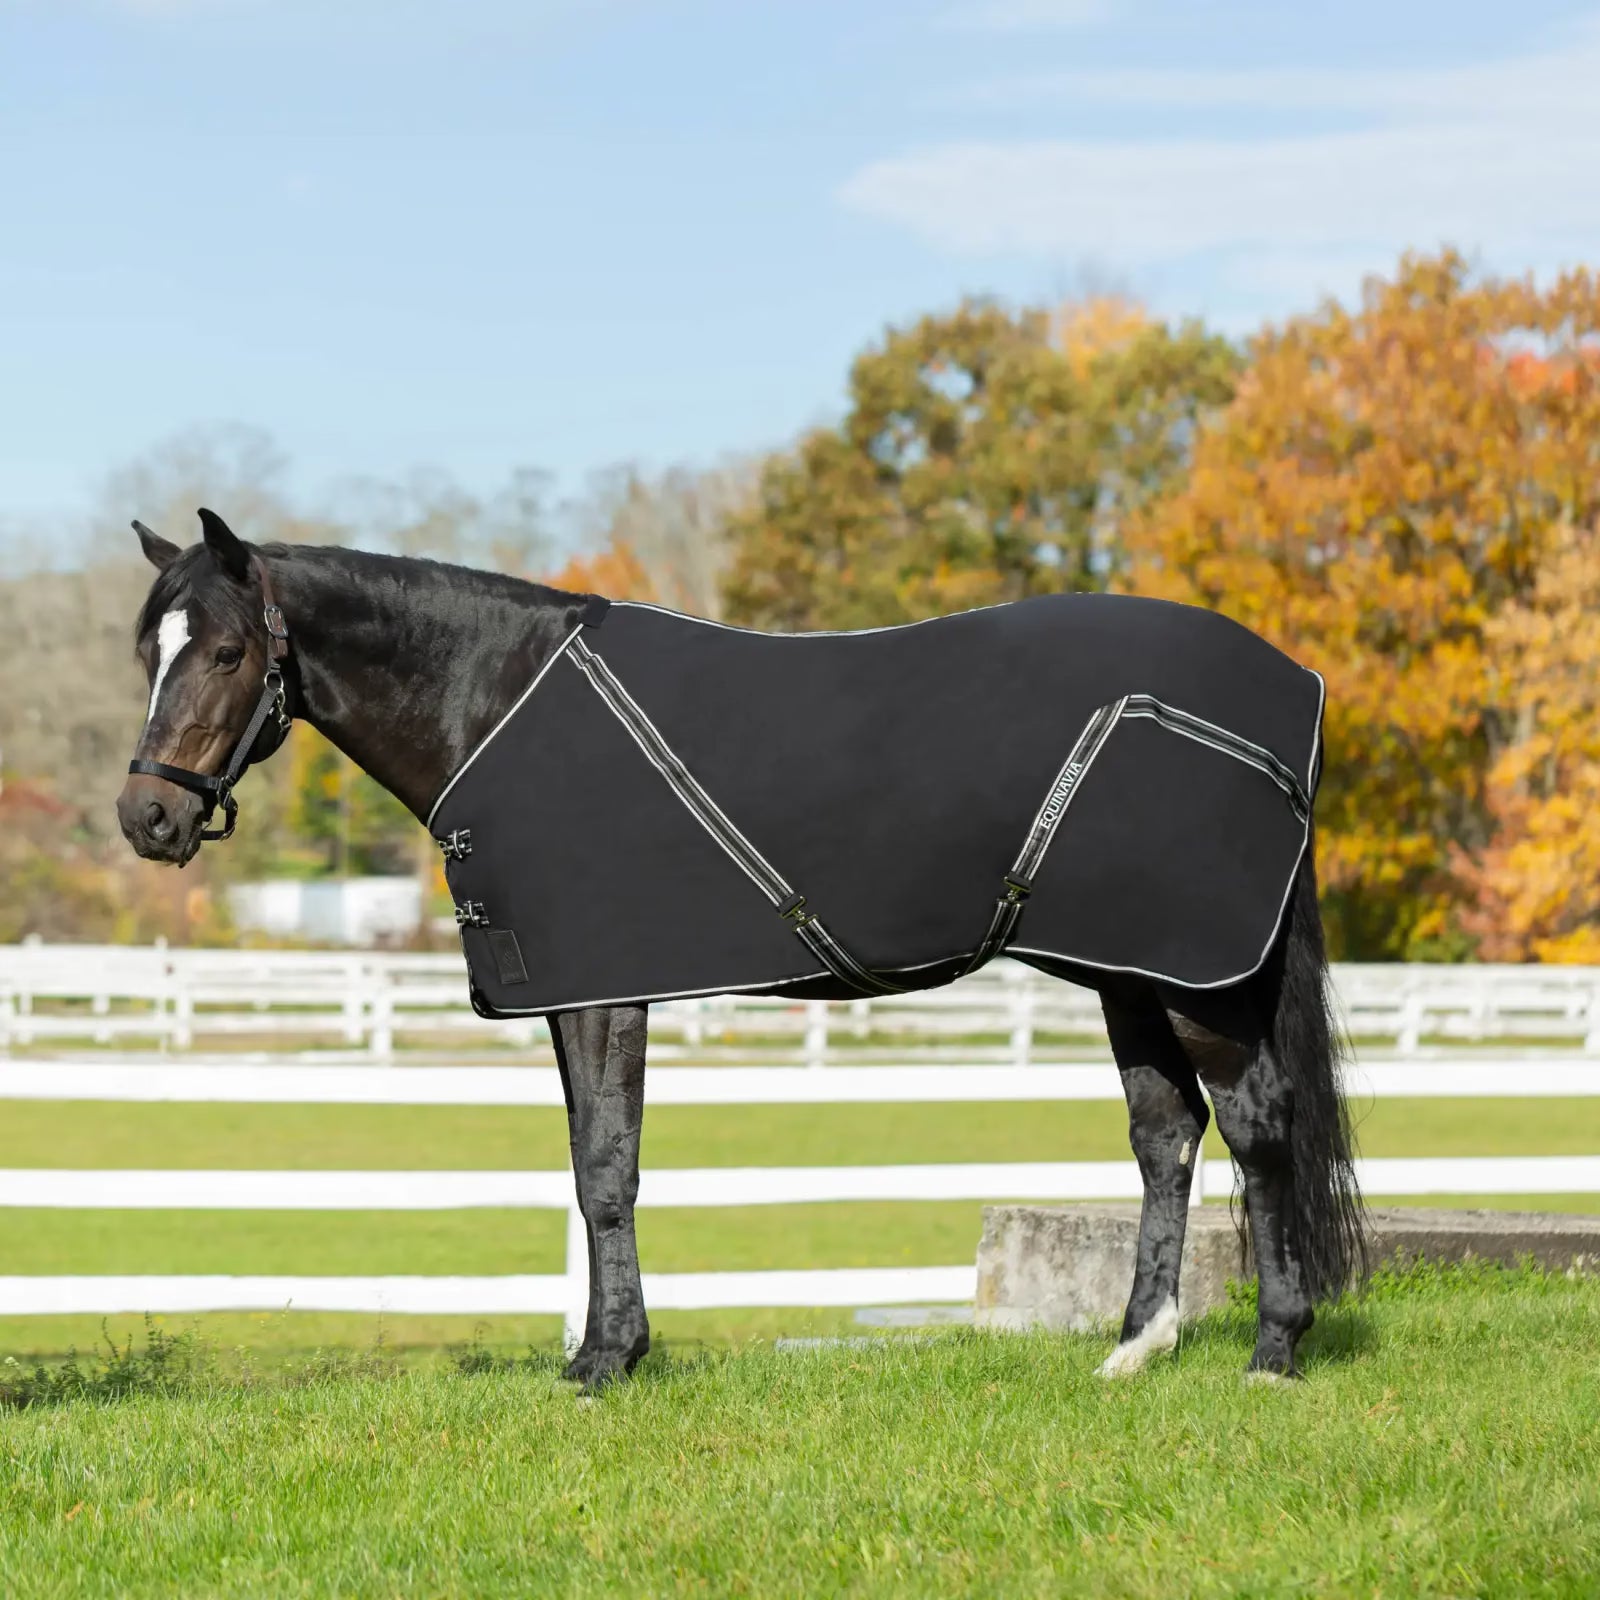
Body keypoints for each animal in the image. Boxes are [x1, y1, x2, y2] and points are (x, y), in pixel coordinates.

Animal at [117, 508, 1364, 1389]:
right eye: (148, 652)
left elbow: (606, 1167)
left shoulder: (605, 991)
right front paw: (603, 1348)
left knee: (1256, 1126)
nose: (149, 819)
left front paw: (606, 1360)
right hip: (1129, 974)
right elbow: (587, 1165)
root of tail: (1294, 689)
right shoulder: (572, 991)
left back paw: (1273, 1349)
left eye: (225, 651)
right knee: (1165, 1132)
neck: (500, 701)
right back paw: (1136, 1346)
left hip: (1199, 978)